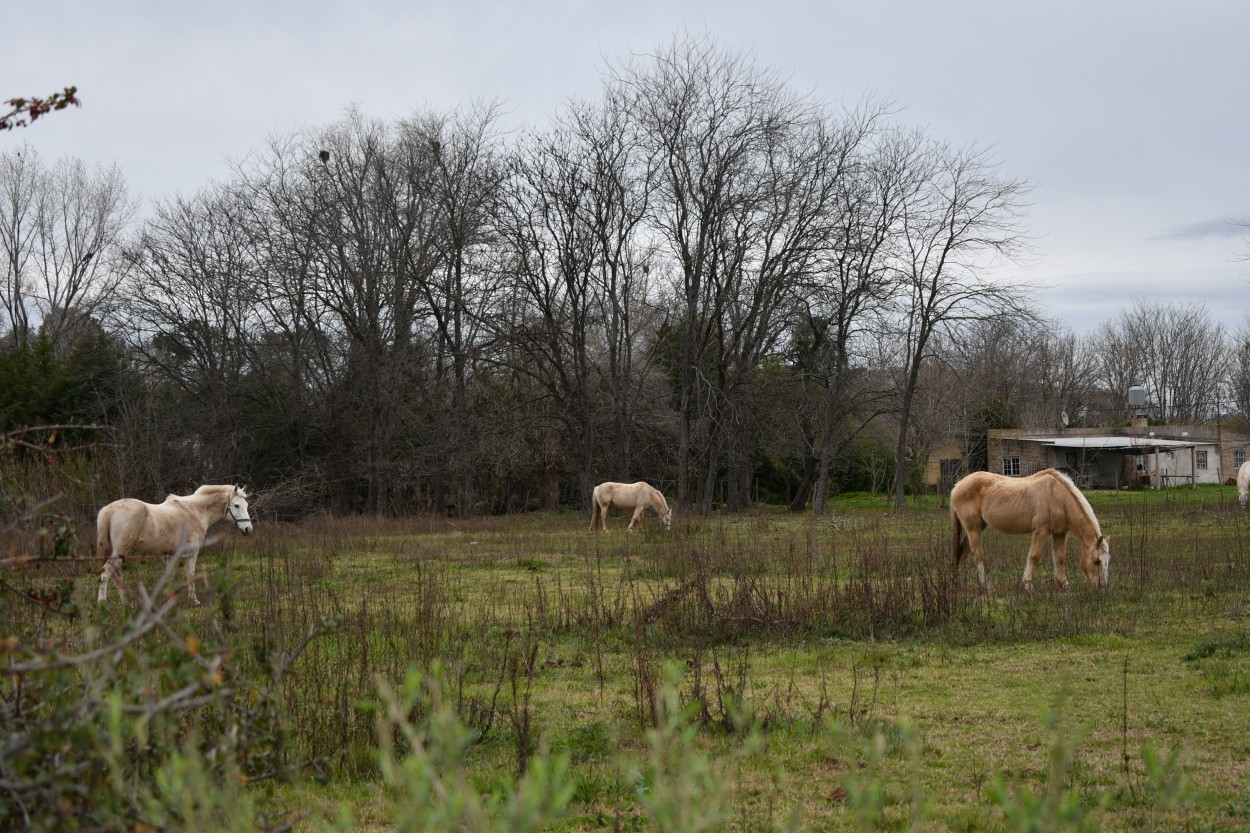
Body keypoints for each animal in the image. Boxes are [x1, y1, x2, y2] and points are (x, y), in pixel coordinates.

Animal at [96, 480, 252, 602]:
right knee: (106, 574)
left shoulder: (169, 556)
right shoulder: (192, 554)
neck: (195, 511)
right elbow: (191, 575)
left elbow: (169, 578)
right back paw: (102, 604)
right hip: (120, 551)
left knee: (116, 574)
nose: (248, 529)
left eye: (246, 505)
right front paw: (194, 600)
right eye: (236, 505)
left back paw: (125, 603)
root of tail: (110, 509)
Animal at [950, 467, 1110, 590]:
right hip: (973, 528)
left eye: (1107, 560)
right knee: (977, 554)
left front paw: (1063, 584)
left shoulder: (1060, 533)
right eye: (1096, 561)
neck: (1058, 496)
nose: (1102, 586)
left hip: (978, 527)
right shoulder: (1041, 531)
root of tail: (957, 486)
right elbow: (1034, 556)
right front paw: (1027, 584)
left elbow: (1060, 558)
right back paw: (984, 585)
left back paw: (958, 584)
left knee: (963, 552)